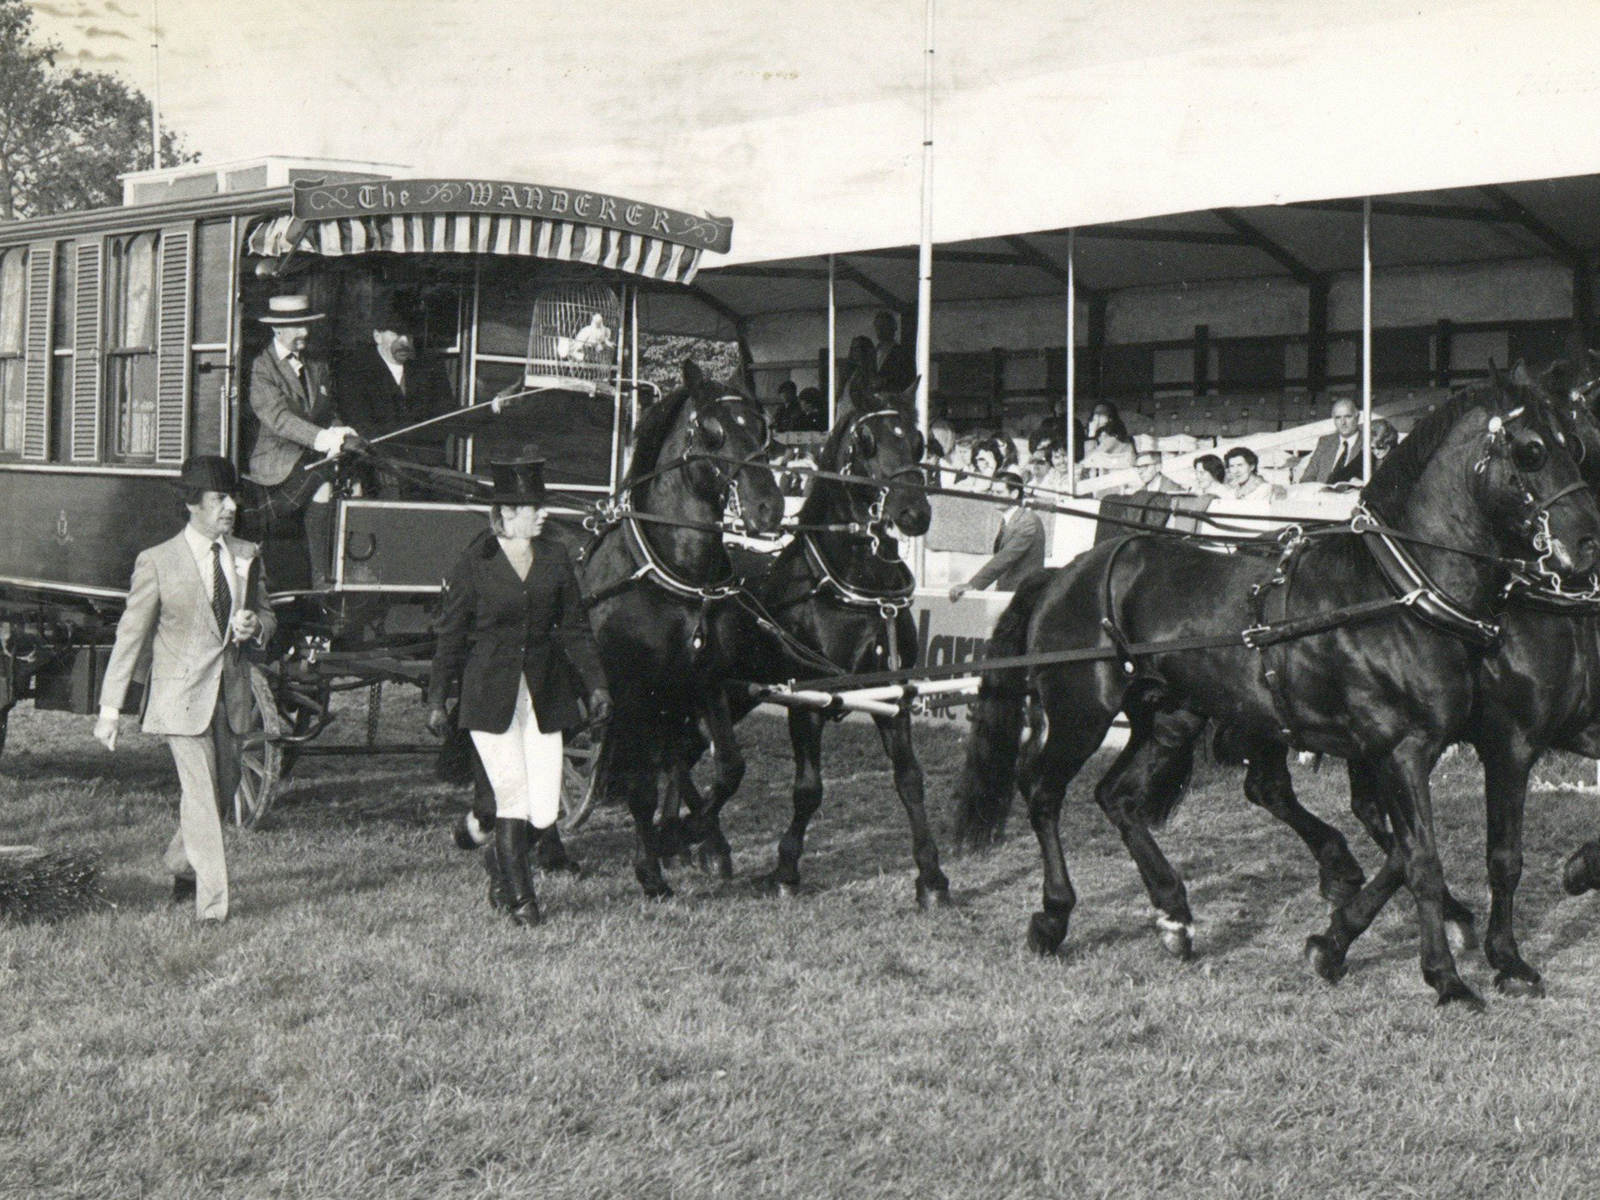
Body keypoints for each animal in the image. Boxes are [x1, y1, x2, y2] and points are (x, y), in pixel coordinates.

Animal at [588, 361, 787, 896]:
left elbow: (730, 767)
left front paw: (690, 832)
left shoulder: (705, 681)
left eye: (764, 428)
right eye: (712, 431)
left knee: (677, 759)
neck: (677, 578)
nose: (770, 508)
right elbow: (639, 785)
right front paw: (650, 869)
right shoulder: (633, 693)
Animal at [668, 390, 953, 908]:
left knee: (681, 751)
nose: (914, 513)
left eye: (918, 440)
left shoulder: (892, 697)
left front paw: (932, 877)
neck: (851, 591)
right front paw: (785, 869)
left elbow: (910, 780)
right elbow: (808, 789)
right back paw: (699, 839)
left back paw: (698, 843)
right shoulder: (806, 701)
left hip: (728, 698)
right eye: (865, 441)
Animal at [947, 374, 1600, 1004]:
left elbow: (1407, 849)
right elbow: (1423, 860)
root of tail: (1064, 574)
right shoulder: (1414, 749)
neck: (1397, 594)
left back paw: (1175, 912)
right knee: (1043, 791)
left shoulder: (1419, 748)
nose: (1587, 543)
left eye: (1576, 445)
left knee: (1120, 796)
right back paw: (1053, 917)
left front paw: (1343, 938)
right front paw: (1448, 977)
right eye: (1533, 450)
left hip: (1169, 716)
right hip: (1082, 712)